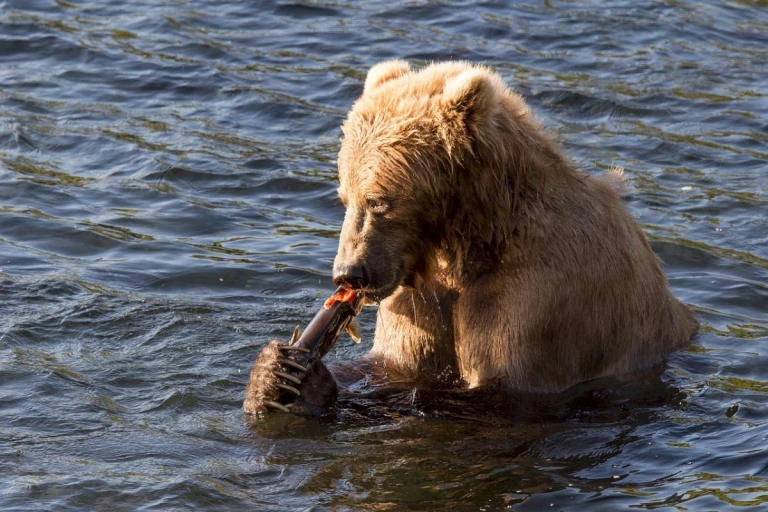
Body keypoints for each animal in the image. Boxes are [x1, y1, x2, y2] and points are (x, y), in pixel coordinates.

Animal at [243, 60, 699, 416]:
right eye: (343, 197)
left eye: (378, 201)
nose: (348, 274)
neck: (472, 243)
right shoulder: (422, 295)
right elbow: (395, 363)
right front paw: (272, 371)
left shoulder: (539, 296)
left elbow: (502, 391)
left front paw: (311, 382)